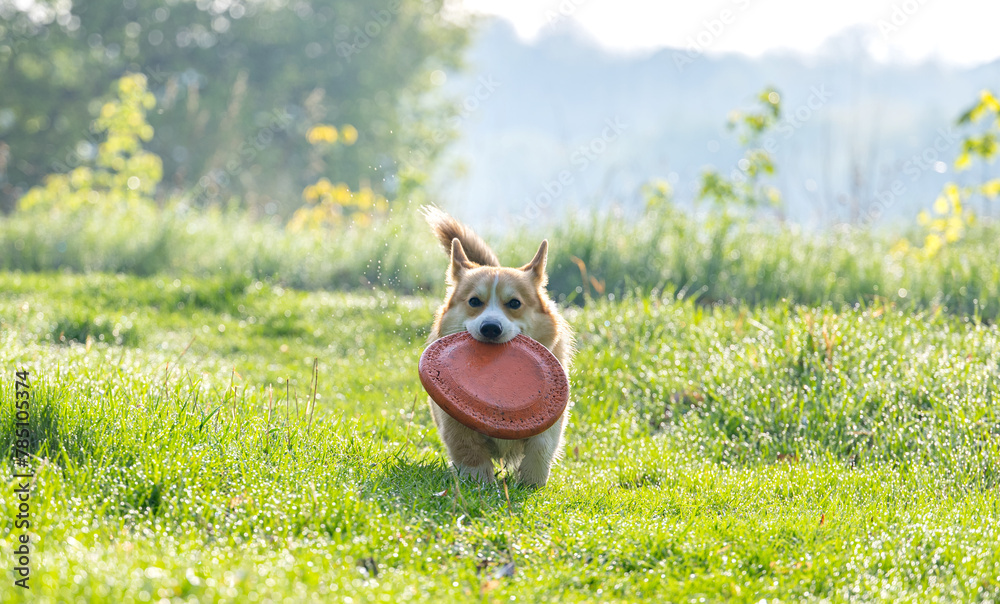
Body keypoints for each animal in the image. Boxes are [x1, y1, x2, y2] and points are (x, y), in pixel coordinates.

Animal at [422, 206, 576, 486]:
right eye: (474, 301)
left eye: (514, 303)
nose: (491, 328)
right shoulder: (454, 420)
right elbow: (469, 452)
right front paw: (480, 485)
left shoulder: (553, 419)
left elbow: (542, 445)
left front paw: (531, 485)